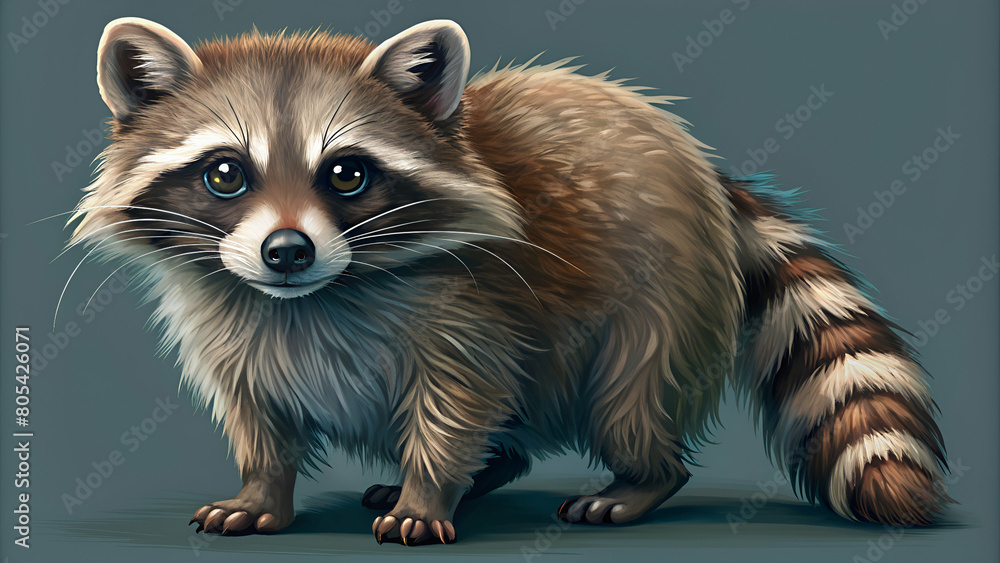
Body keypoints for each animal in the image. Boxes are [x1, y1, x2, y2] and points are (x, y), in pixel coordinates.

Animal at [68, 17, 951, 545]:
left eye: (347, 172)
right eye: (225, 173)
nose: (287, 251)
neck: (312, 298)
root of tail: (705, 170)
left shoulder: (470, 302)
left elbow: (458, 398)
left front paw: (428, 491)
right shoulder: (229, 316)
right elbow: (256, 411)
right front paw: (262, 486)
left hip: (665, 295)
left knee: (629, 396)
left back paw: (639, 478)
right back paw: (497, 469)